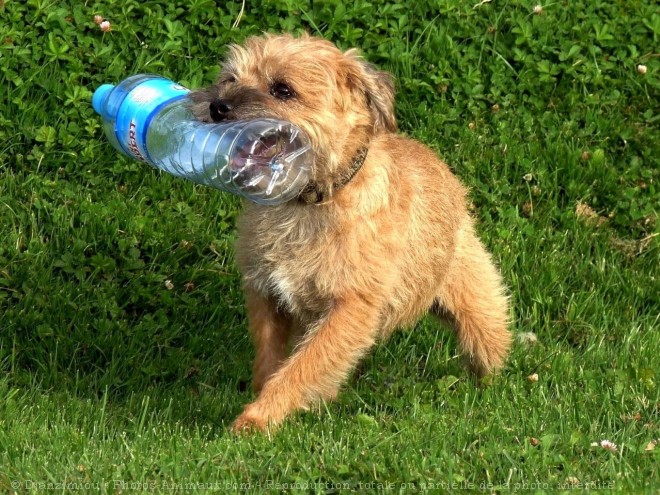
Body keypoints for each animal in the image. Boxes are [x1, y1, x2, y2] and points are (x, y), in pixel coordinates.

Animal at [188, 33, 512, 432]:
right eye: (231, 78)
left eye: (282, 90)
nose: (218, 106)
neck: (307, 204)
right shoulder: (267, 296)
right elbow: (272, 359)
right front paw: (264, 401)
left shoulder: (348, 309)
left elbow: (303, 366)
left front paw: (258, 418)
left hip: (473, 298)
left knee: (487, 333)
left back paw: (490, 386)